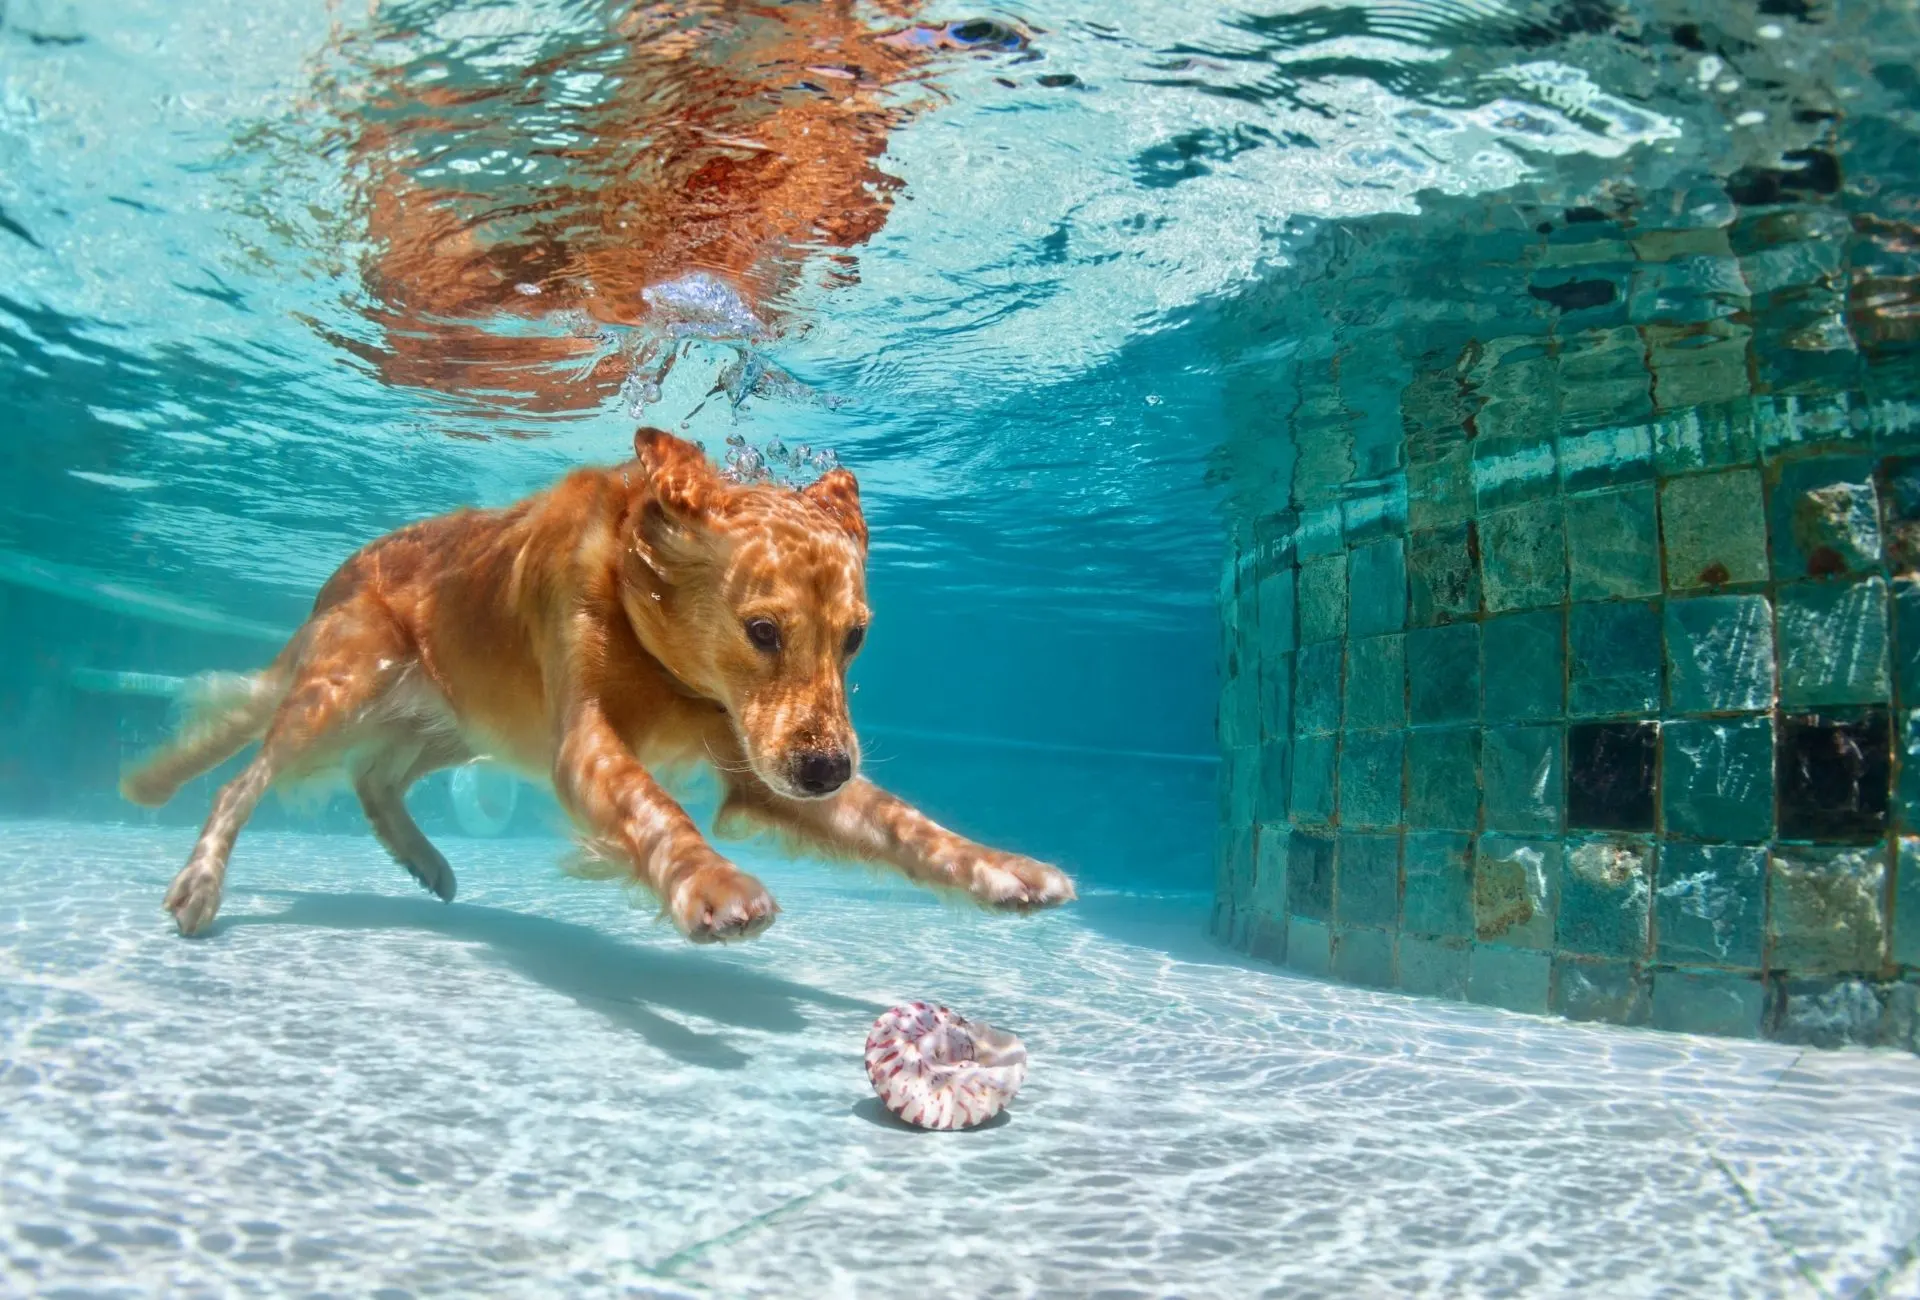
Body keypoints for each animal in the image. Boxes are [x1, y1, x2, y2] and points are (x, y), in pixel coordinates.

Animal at [127, 430, 1075, 937]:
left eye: (856, 639)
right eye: (762, 632)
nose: (827, 772)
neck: (651, 640)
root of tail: (335, 577)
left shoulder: (760, 762)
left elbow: (902, 823)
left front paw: (1003, 869)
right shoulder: (582, 742)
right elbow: (654, 808)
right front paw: (714, 886)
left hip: (459, 724)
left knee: (374, 779)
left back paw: (425, 862)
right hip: (346, 685)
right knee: (245, 776)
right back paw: (200, 883)